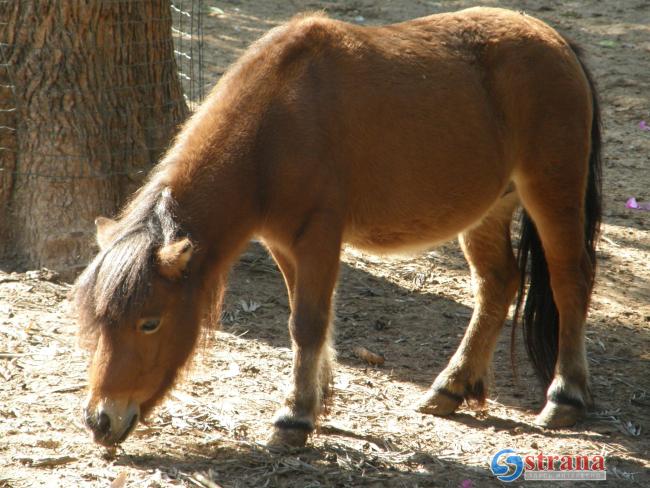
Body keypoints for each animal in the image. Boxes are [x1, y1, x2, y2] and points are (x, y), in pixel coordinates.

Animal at [73, 7, 600, 448]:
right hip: (487, 210)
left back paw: (565, 396)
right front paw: (317, 396)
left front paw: (294, 418)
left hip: (551, 192)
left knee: (569, 281)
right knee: (497, 285)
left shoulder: (319, 238)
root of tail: (556, 41)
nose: (100, 420)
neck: (275, 124)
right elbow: (306, 321)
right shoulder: (284, 244)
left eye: (149, 322)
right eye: (99, 322)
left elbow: (307, 323)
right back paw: (450, 387)